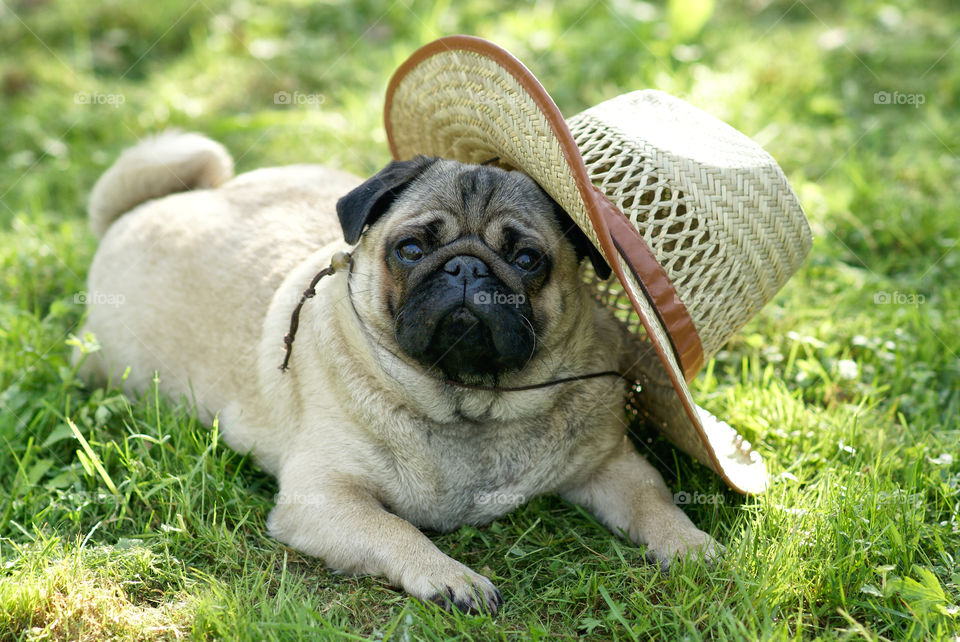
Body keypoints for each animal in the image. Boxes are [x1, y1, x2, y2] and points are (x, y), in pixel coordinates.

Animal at [79, 130, 716, 608]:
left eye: (527, 259)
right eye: (410, 250)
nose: (466, 267)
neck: (469, 403)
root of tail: (141, 208)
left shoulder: (612, 466)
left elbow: (655, 504)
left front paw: (689, 545)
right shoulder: (323, 498)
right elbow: (396, 529)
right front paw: (451, 577)